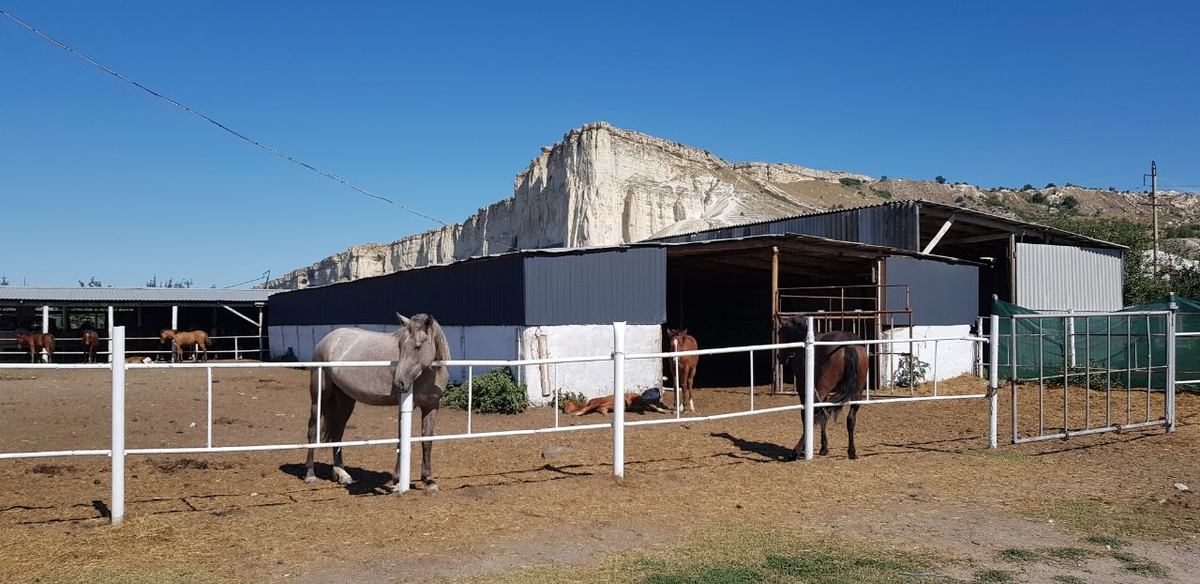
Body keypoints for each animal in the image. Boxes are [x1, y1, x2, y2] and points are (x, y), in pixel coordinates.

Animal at [304, 314, 451, 491]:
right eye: (400, 346)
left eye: (418, 346)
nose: (399, 383)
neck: (428, 374)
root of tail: (328, 339)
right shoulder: (405, 407)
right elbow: (401, 440)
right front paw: (398, 479)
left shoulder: (432, 406)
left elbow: (427, 441)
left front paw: (429, 480)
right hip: (319, 396)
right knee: (313, 430)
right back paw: (310, 474)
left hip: (346, 399)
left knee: (337, 432)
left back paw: (343, 474)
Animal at [772, 316, 868, 460]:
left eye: (780, 333)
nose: (779, 357)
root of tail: (848, 346)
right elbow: (824, 417)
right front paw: (824, 447)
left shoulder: (803, 387)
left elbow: (806, 414)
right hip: (857, 393)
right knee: (850, 419)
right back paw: (852, 452)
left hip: (823, 389)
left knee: (815, 412)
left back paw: (796, 450)